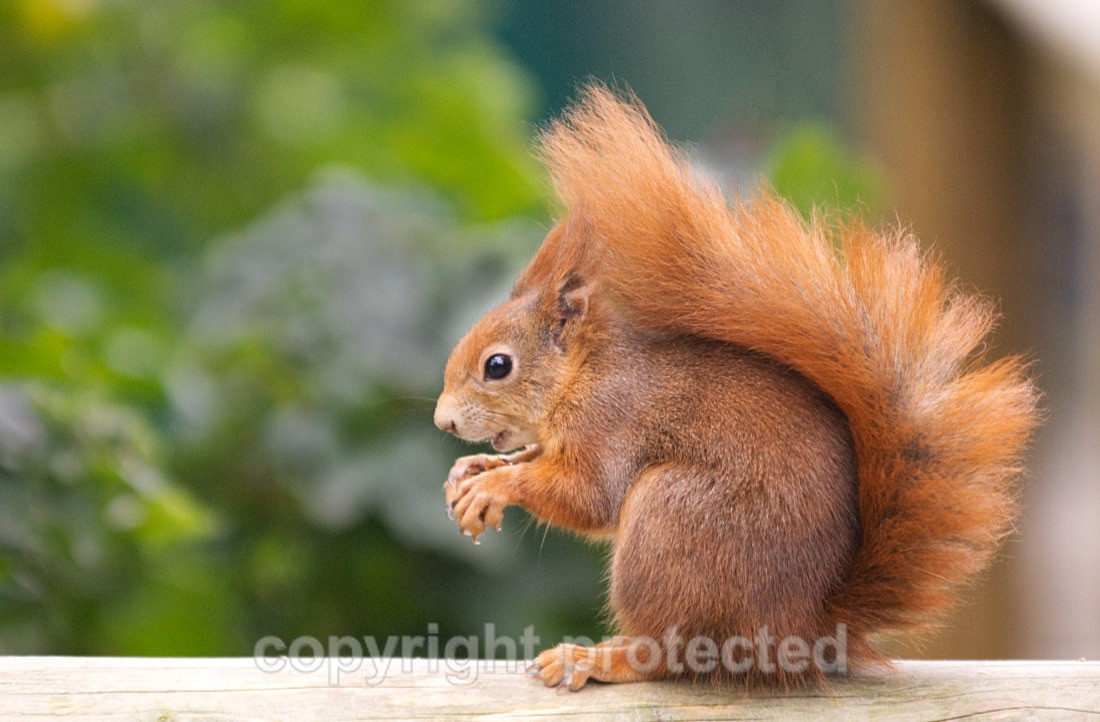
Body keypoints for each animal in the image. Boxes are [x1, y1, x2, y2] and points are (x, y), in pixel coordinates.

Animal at [433, 84, 1039, 690]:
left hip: (671, 523)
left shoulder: (610, 424)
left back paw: (596, 659)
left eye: (497, 366)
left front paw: (497, 486)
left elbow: (586, 496)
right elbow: (532, 460)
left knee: (667, 652)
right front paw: (472, 471)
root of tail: (802, 628)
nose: (444, 420)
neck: (584, 374)